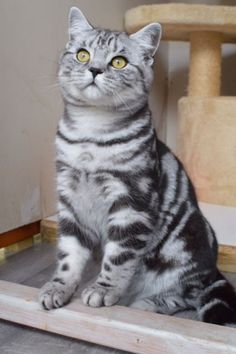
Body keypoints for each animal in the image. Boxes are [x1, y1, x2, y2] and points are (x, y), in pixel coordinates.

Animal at [39, 6, 236, 326]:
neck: (90, 135)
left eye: (118, 62)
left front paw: (103, 289)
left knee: (182, 297)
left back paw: (141, 305)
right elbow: (69, 256)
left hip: (183, 251)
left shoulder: (132, 203)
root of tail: (211, 269)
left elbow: (118, 258)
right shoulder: (70, 202)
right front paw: (59, 287)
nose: (95, 70)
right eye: (82, 55)